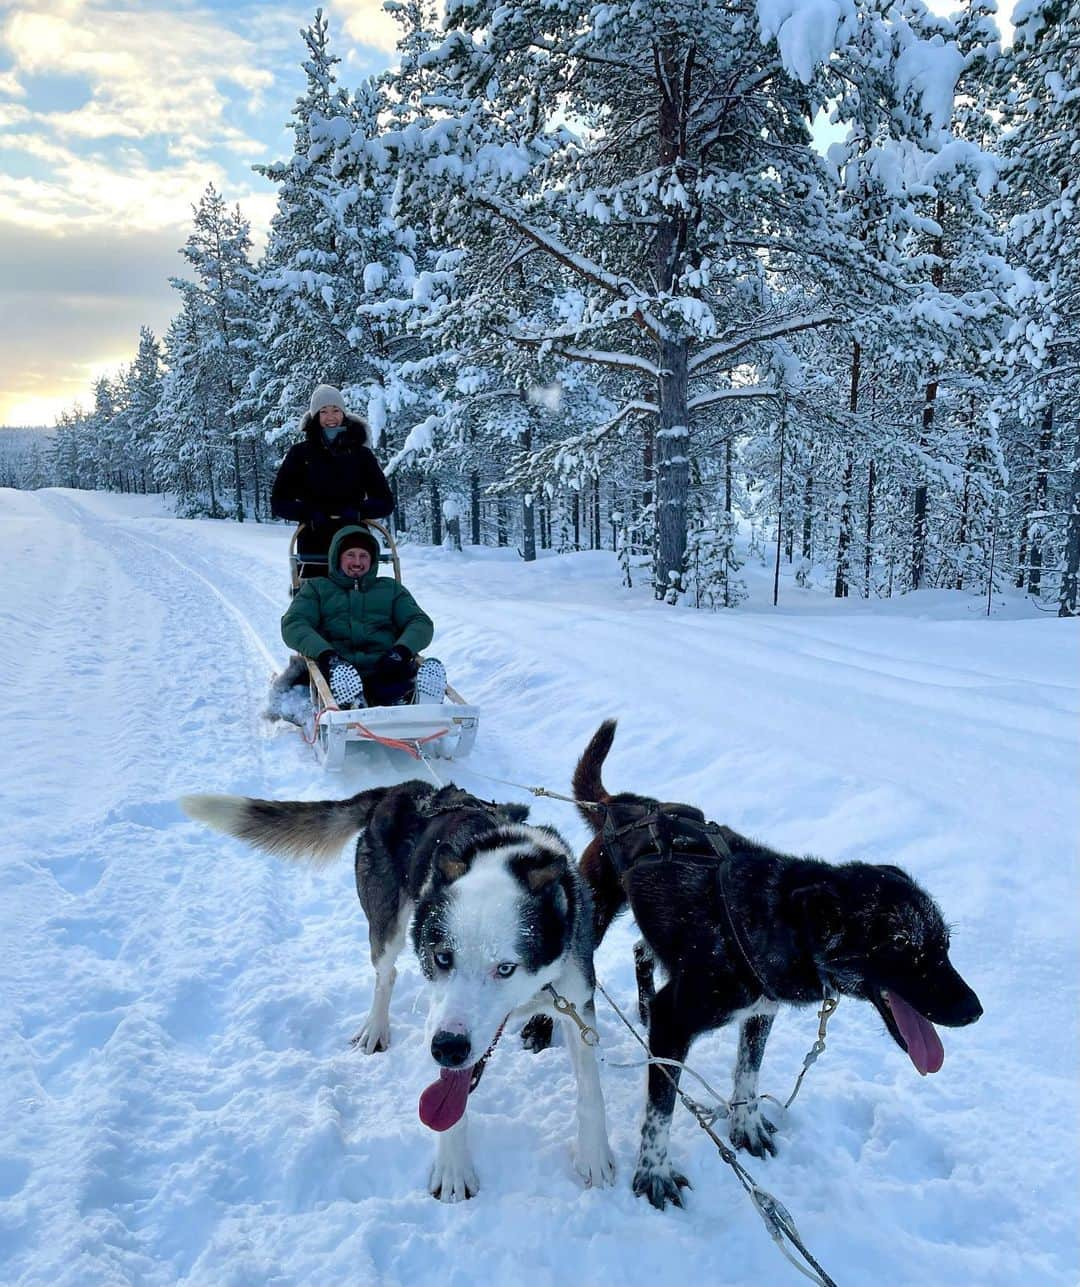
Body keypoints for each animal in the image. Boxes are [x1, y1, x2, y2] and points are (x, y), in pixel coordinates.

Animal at [181, 777, 612, 1199]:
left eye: (506, 968)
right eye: (443, 958)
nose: (448, 1048)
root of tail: (400, 789)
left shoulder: (576, 1001)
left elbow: (591, 1090)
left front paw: (594, 1154)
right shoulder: (438, 1016)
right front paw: (453, 1167)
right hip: (387, 927)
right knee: (385, 976)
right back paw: (375, 1027)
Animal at [566, 720, 978, 1209]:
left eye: (945, 946)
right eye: (902, 947)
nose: (975, 1010)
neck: (776, 917)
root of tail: (622, 804)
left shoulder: (761, 1012)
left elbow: (748, 1074)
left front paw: (745, 1126)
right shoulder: (675, 1021)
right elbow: (660, 1113)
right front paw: (654, 1172)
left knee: (641, 951)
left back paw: (644, 1005)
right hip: (593, 915)